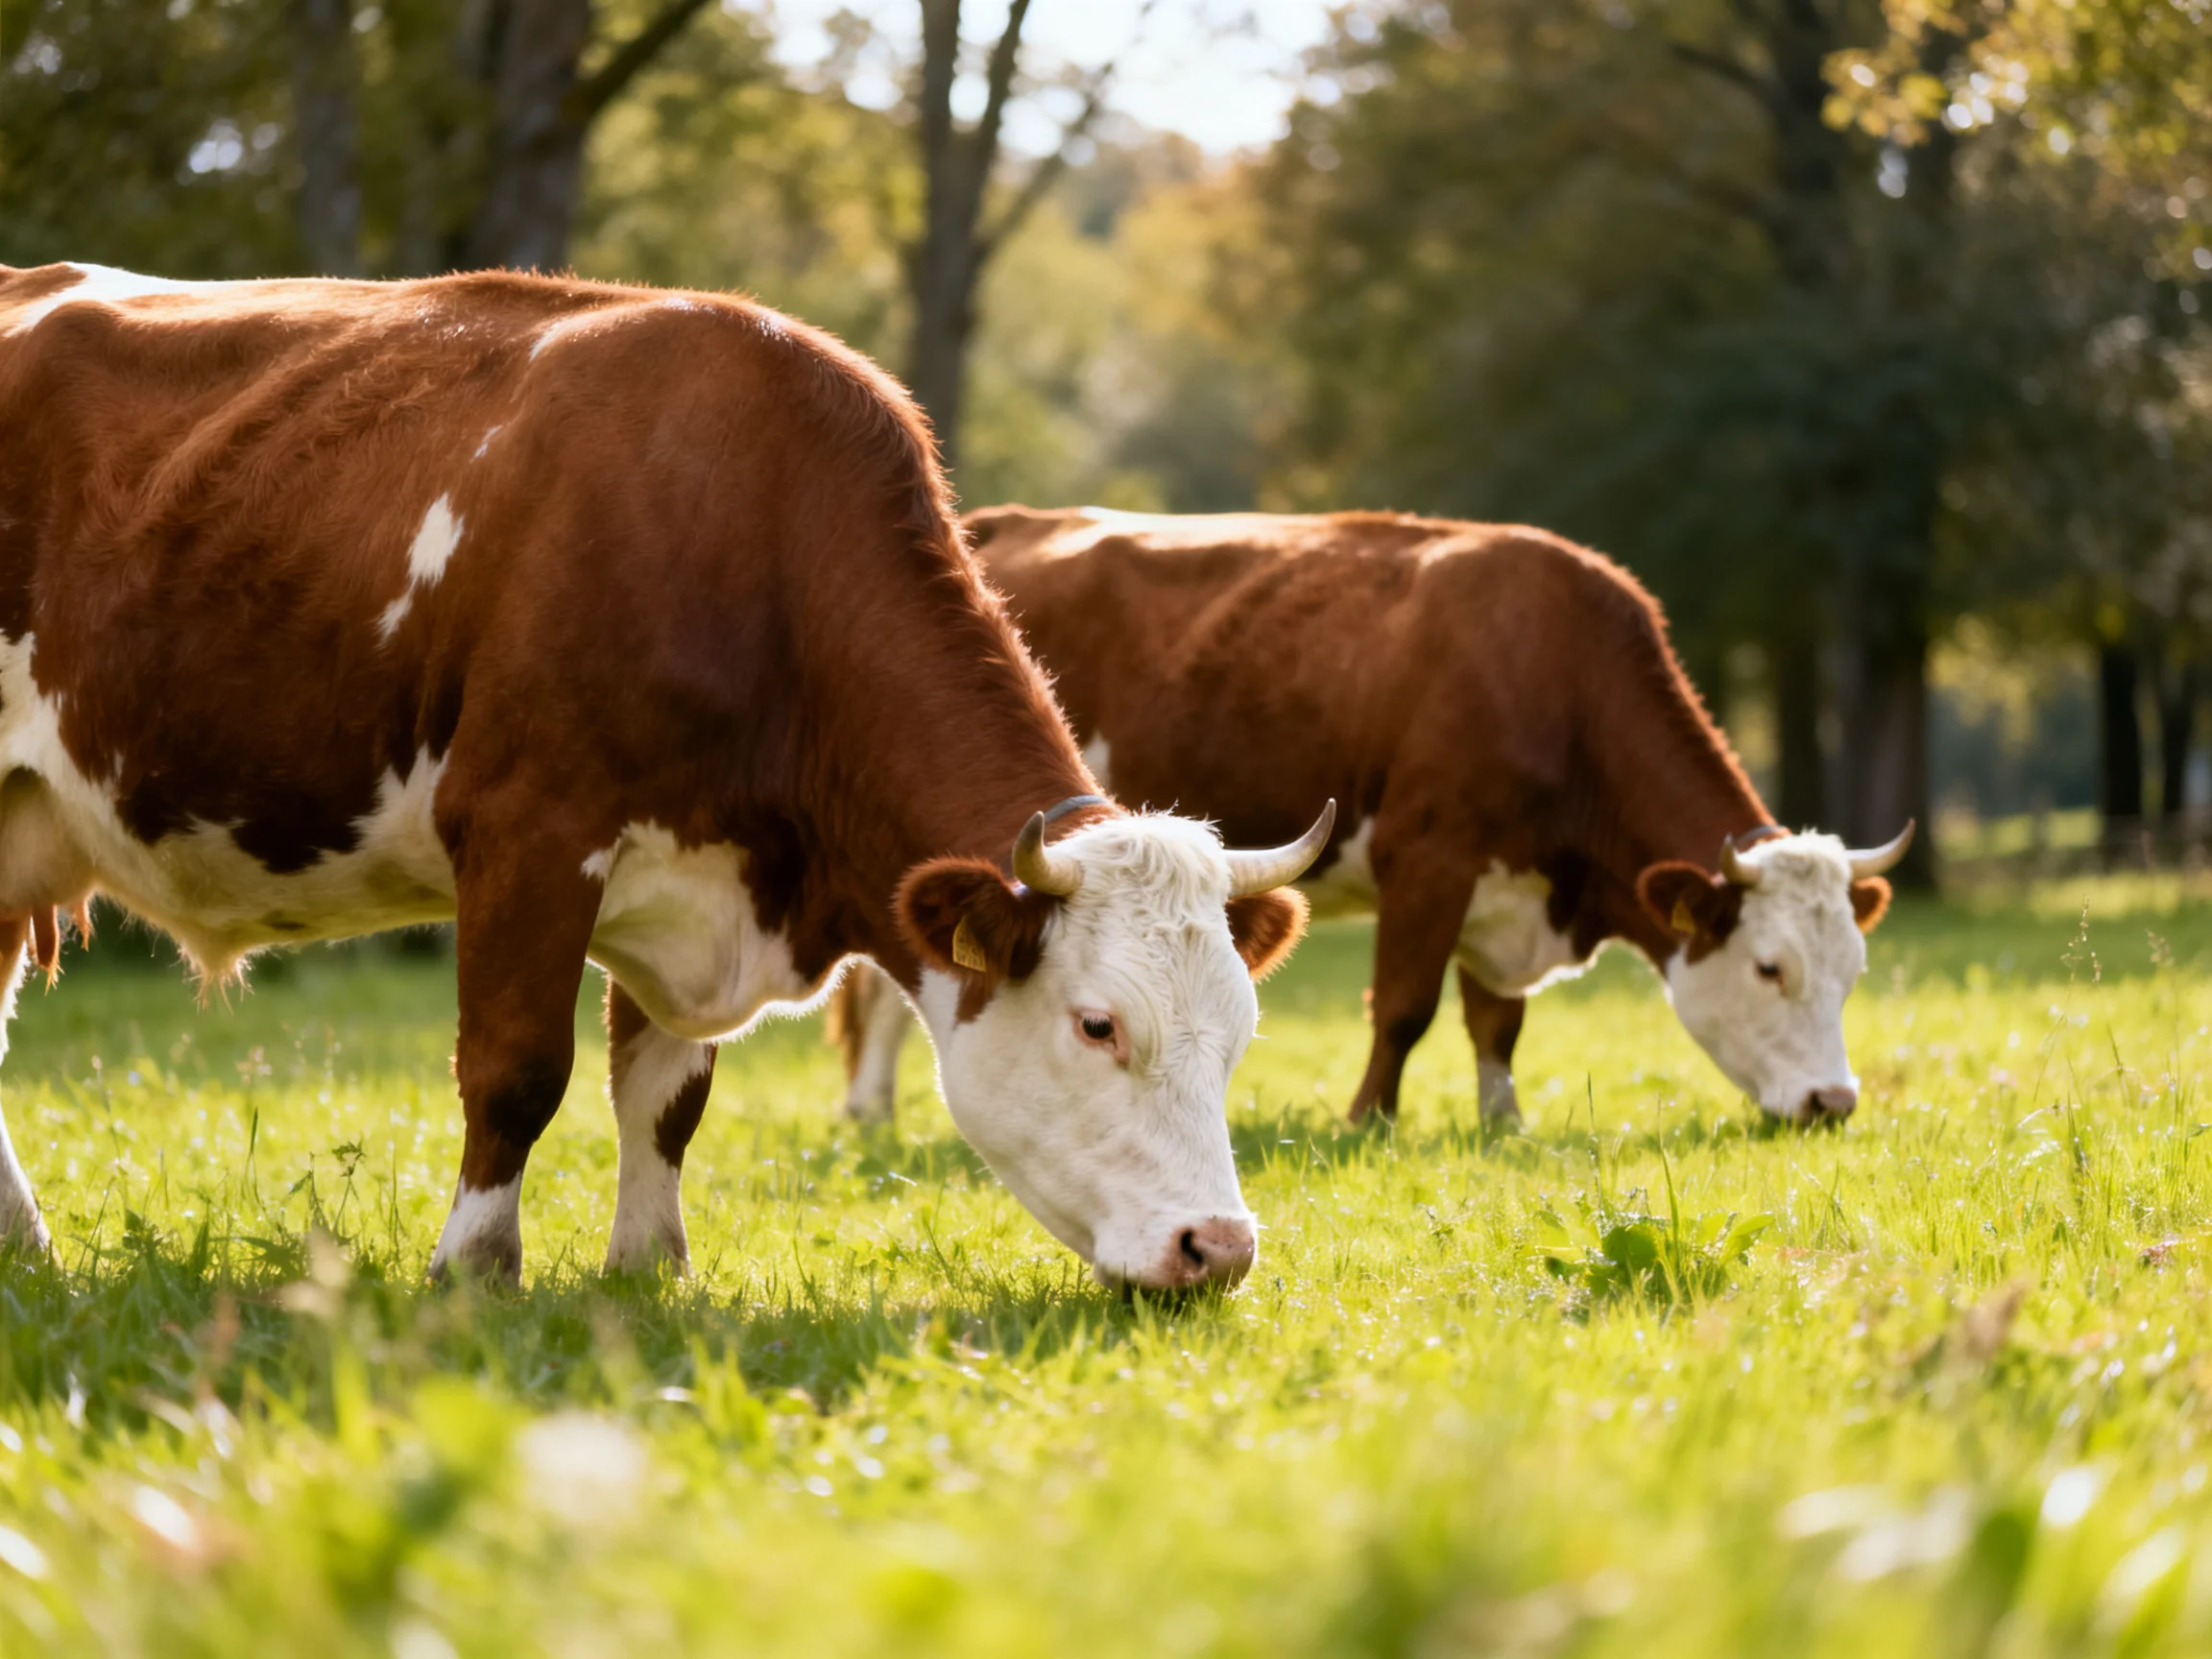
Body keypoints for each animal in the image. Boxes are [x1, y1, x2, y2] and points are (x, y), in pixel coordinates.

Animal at [0, 266, 1335, 1292]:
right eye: (1097, 1023)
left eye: (1240, 1031)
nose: (1218, 1248)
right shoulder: (531, 833)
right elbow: (516, 1072)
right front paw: (473, 1273)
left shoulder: (688, 875)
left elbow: (662, 1095)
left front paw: (650, 1267)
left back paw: (28, 1252)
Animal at [833, 506, 1912, 1131]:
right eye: (1771, 968)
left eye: (1855, 973)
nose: (1832, 1103)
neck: (1554, 676)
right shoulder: (1428, 858)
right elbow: (1404, 1007)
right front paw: (1367, 1120)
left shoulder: (1499, 891)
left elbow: (1497, 1022)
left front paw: (1502, 1124)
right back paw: (868, 1109)